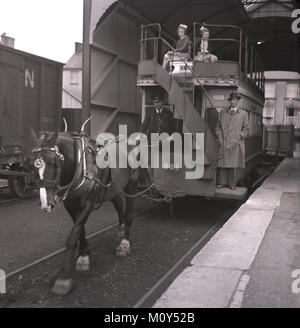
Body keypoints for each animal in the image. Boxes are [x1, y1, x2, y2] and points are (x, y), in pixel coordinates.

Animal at [30, 124, 148, 296]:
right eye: (31, 163)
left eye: (54, 163)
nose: (46, 203)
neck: (81, 165)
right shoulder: (71, 205)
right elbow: (80, 231)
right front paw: (84, 256)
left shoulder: (88, 204)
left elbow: (73, 236)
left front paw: (64, 279)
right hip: (113, 188)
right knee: (119, 204)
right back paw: (120, 229)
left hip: (131, 185)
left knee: (128, 214)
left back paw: (124, 243)